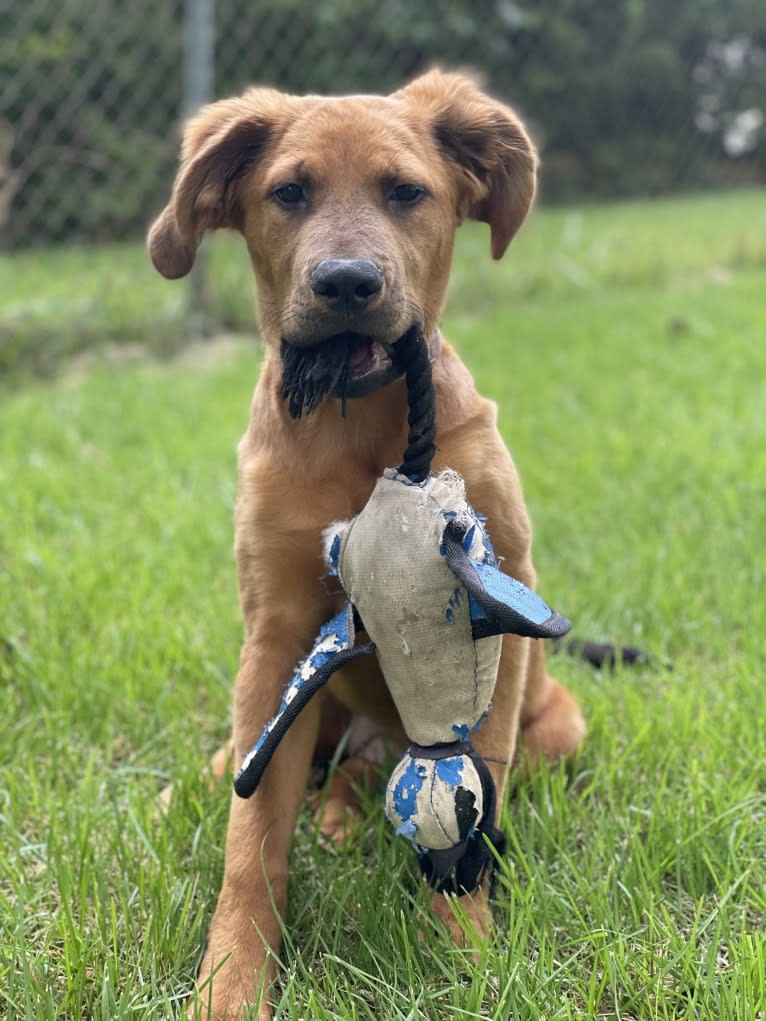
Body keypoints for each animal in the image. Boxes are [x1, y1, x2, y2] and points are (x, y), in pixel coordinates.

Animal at [148, 71, 588, 1021]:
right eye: (288, 193)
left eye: (405, 192)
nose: (346, 283)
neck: (359, 434)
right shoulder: (277, 633)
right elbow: (250, 838)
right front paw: (229, 983)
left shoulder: (495, 610)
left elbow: (477, 791)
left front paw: (466, 951)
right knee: (269, 763)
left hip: (559, 724)